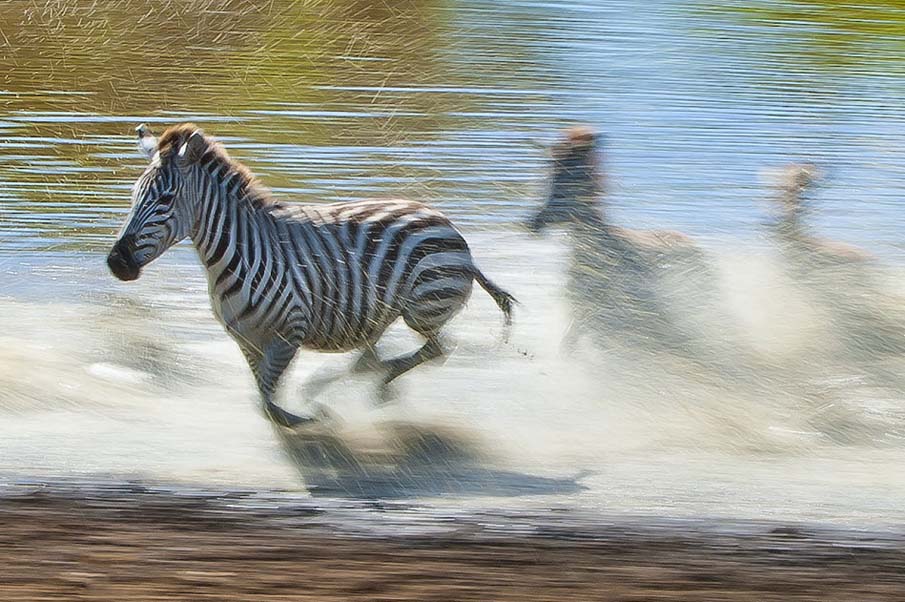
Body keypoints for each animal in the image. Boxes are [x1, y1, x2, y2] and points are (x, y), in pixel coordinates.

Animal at [106, 123, 512, 426]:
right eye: (133, 195)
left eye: (165, 200)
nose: (116, 262)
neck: (235, 253)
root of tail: (446, 224)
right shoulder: (246, 339)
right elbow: (262, 396)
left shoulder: (289, 332)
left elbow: (268, 401)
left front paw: (306, 422)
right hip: (384, 311)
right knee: (385, 353)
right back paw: (355, 380)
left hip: (422, 307)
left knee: (436, 349)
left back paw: (376, 383)